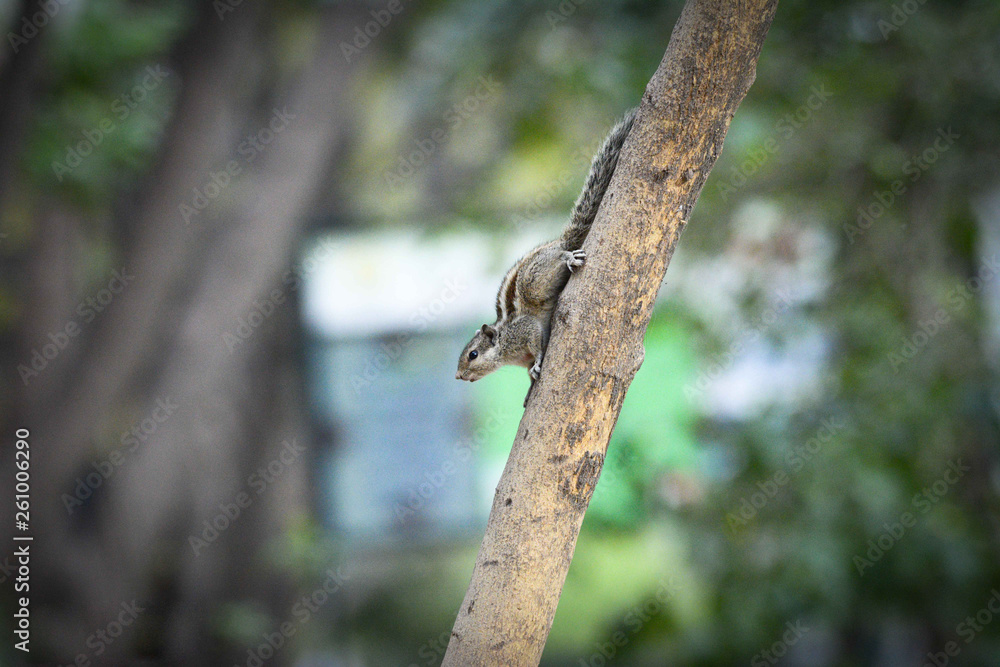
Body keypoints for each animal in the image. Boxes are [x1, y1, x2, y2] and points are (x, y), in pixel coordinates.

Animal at [456, 108, 636, 408]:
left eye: (473, 354)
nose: (458, 376)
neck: (505, 347)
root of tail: (559, 242)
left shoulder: (526, 330)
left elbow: (536, 345)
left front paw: (539, 364)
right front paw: (529, 388)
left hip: (534, 282)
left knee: (559, 259)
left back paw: (569, 258)